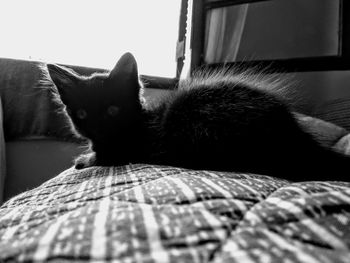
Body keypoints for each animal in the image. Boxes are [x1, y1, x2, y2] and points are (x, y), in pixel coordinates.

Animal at [47, 52, 350, 183]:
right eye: (82, 114)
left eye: (112, 110)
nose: (99, 130)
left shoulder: (124, 150)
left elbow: (102, 157)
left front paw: (84, 160)